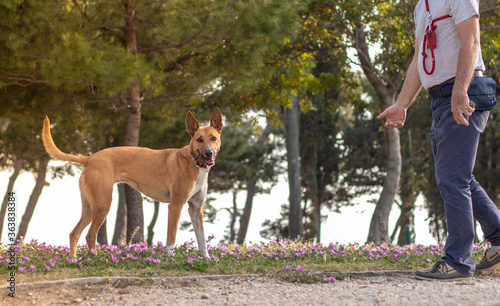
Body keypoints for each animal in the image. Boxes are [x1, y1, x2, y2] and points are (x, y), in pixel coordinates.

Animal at [43, 108, 223, 258]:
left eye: (213, 138)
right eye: (199, 139)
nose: (209, 153)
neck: (194, 162)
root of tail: (90, 158)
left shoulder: (196, 208)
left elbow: (201, 238)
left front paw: (207, 259)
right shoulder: (175, 206)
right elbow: (171, 239)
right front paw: (170, 260)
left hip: (89, 208)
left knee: (74, 233)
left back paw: (74, 260)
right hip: (102, 205)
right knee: (90, 235)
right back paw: (96, 259)